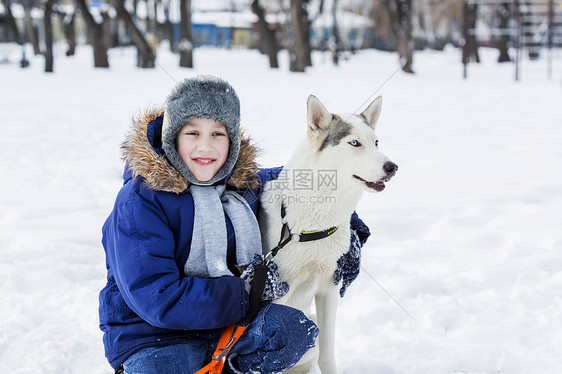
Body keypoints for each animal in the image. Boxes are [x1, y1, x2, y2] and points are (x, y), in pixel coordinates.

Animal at [260, 95, 396, 372]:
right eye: (354, 143)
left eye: (376, 142)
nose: (393, 167)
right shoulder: (276, 295)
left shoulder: (329, 289)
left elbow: (327, 353)